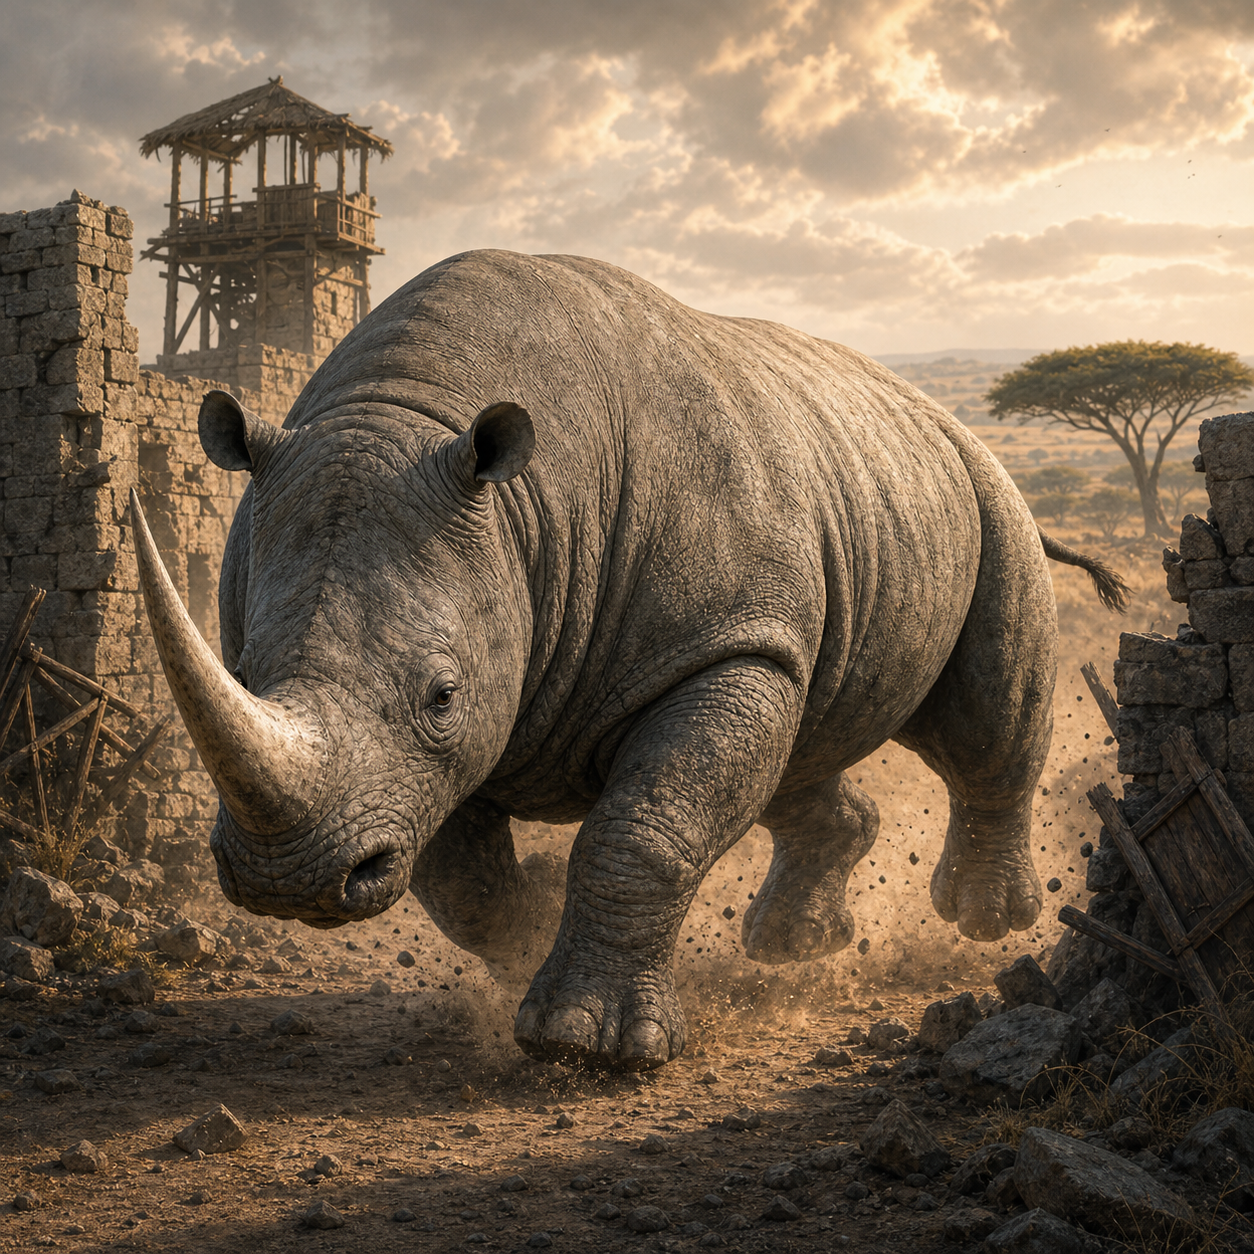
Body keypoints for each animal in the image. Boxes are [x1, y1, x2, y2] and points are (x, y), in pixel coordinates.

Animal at [132, 249, 1126, 1071]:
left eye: (441, 695)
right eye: (240, 668)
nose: (287, 881)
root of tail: (944, 417)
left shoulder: (717, 639)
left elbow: (643, 829)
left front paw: (587, 1046)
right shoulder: (453, 728)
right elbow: (460, 875)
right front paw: (529, 937)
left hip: (985, 497)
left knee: (980, 722)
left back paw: (985, 924)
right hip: (859, 497)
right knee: (802, 742)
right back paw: (793, 949)